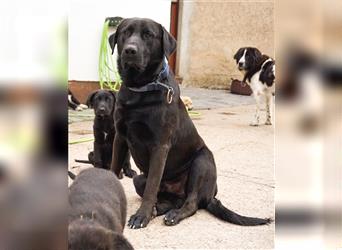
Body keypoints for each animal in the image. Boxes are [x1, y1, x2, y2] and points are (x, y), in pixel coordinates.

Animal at [108, 17, 272, 229]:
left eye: (148, 35)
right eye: (125, 33)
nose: (130, 50)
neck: (141, 88)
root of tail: (210, 197)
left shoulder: (160, 146)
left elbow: (152, 187)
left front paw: (141, 216)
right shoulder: (120, 138)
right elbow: (114, 170)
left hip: (201, 162)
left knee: (191, 202)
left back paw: (173, 215)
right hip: (139, 179)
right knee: (169, 200)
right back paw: (159, 210)